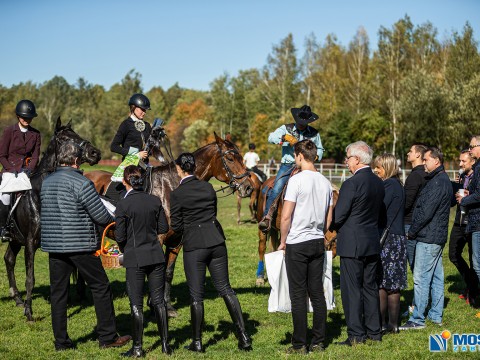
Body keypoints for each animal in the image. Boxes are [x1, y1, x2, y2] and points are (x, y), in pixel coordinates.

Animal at [3, 117, 102, 320]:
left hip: (15, 240)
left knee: (9, 259)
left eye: (77, 134)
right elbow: (30, 278)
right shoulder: (31, 242)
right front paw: (29, 312)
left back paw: (17, 299)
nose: (95, 153)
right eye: (64, 138)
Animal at [85, 129, 255, 316]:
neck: (170, 188)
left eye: (241, 157)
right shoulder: (157, 240)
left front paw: (166, 306)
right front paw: (155, 305)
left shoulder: (176, 241)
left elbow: (167, 272)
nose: (248, 187)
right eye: (230, 158)